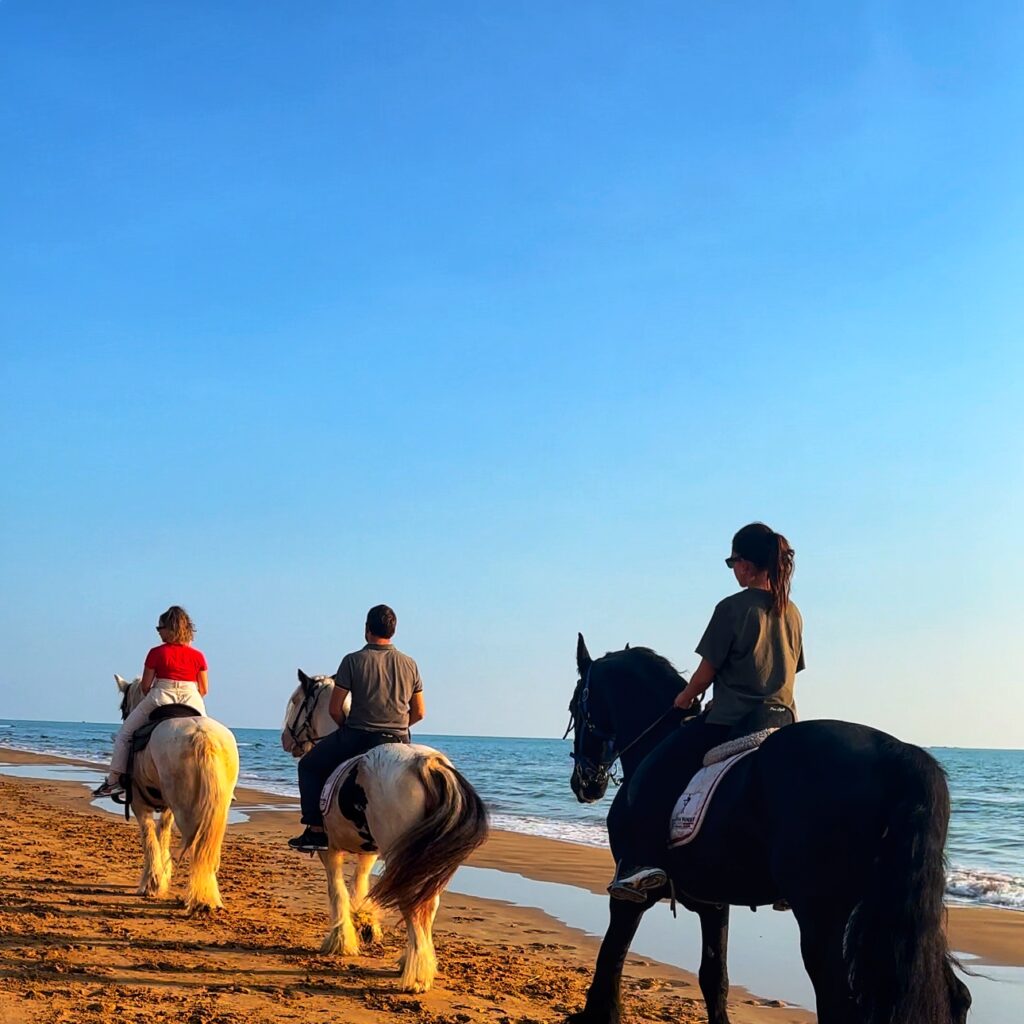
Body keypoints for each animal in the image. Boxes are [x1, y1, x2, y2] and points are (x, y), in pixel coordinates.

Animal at [112, 675, 240, 914]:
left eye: (123, 707)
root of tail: (202, 736)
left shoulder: (139, 805)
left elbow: (149, 838)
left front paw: (151, 884)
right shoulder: (168, 808)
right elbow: (162, 833)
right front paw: (160, 878)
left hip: (187, 810)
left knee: (197, 846)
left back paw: (200, 899)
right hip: (215, 809)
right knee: (207, 847)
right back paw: (209, 897)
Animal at [281, 669, 489, 993]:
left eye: (295, 702)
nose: (285, 739)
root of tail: (427, 763)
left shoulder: (330, 849)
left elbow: (337, 890)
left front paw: (340, 940)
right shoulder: (369, 851)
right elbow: (360, 882)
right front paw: (364, 921)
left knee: (413, 905)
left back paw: (416, 977)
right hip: (421, 860)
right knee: (426, 904)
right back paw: (413, 962)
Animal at [565, 636, 971, 1024]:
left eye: (574, 708)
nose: (584, 784)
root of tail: (898, 753)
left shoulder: (630, 893)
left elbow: (610, 957)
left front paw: (597, 1015)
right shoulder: (714, 902)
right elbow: (714, 977)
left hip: (821, 917)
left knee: (839, 1004)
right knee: (954, 994)